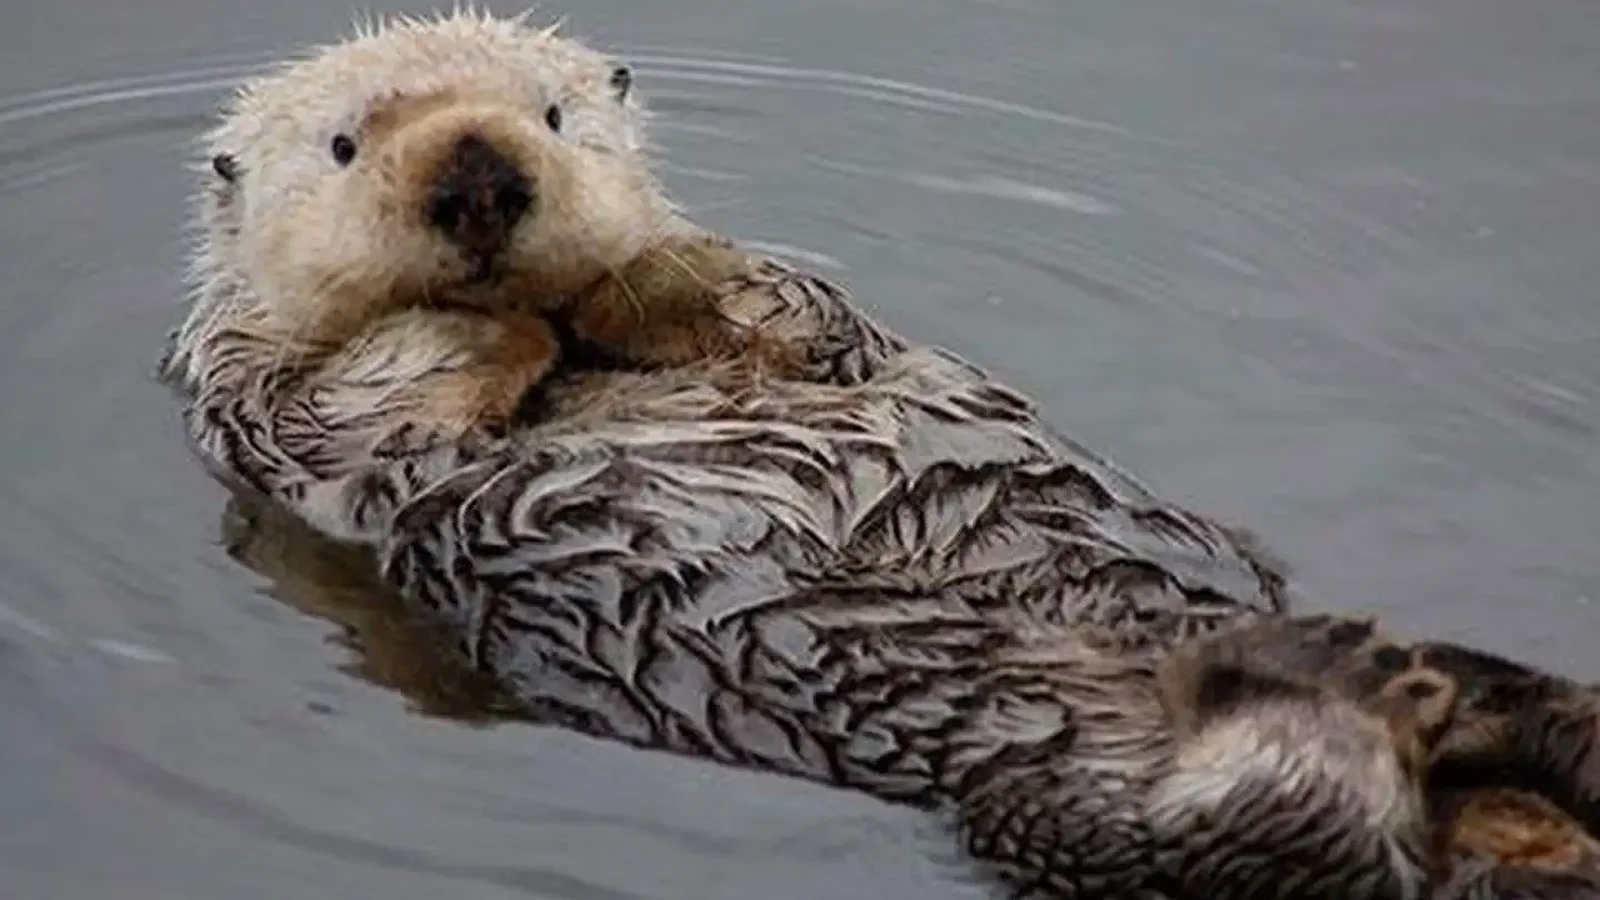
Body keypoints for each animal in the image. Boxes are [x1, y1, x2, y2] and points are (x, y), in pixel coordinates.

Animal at [156, 9, 1600, 899]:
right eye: (344, 144)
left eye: (556, 116)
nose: (475, 175)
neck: (568, 351)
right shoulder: (268, 418)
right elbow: (363, 394)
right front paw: (467, 321)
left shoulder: (812, 336)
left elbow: (787, 311)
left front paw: (650, 268)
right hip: (1051, 796)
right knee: (1276, 830)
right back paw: (1345, 670)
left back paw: (1464, 686)